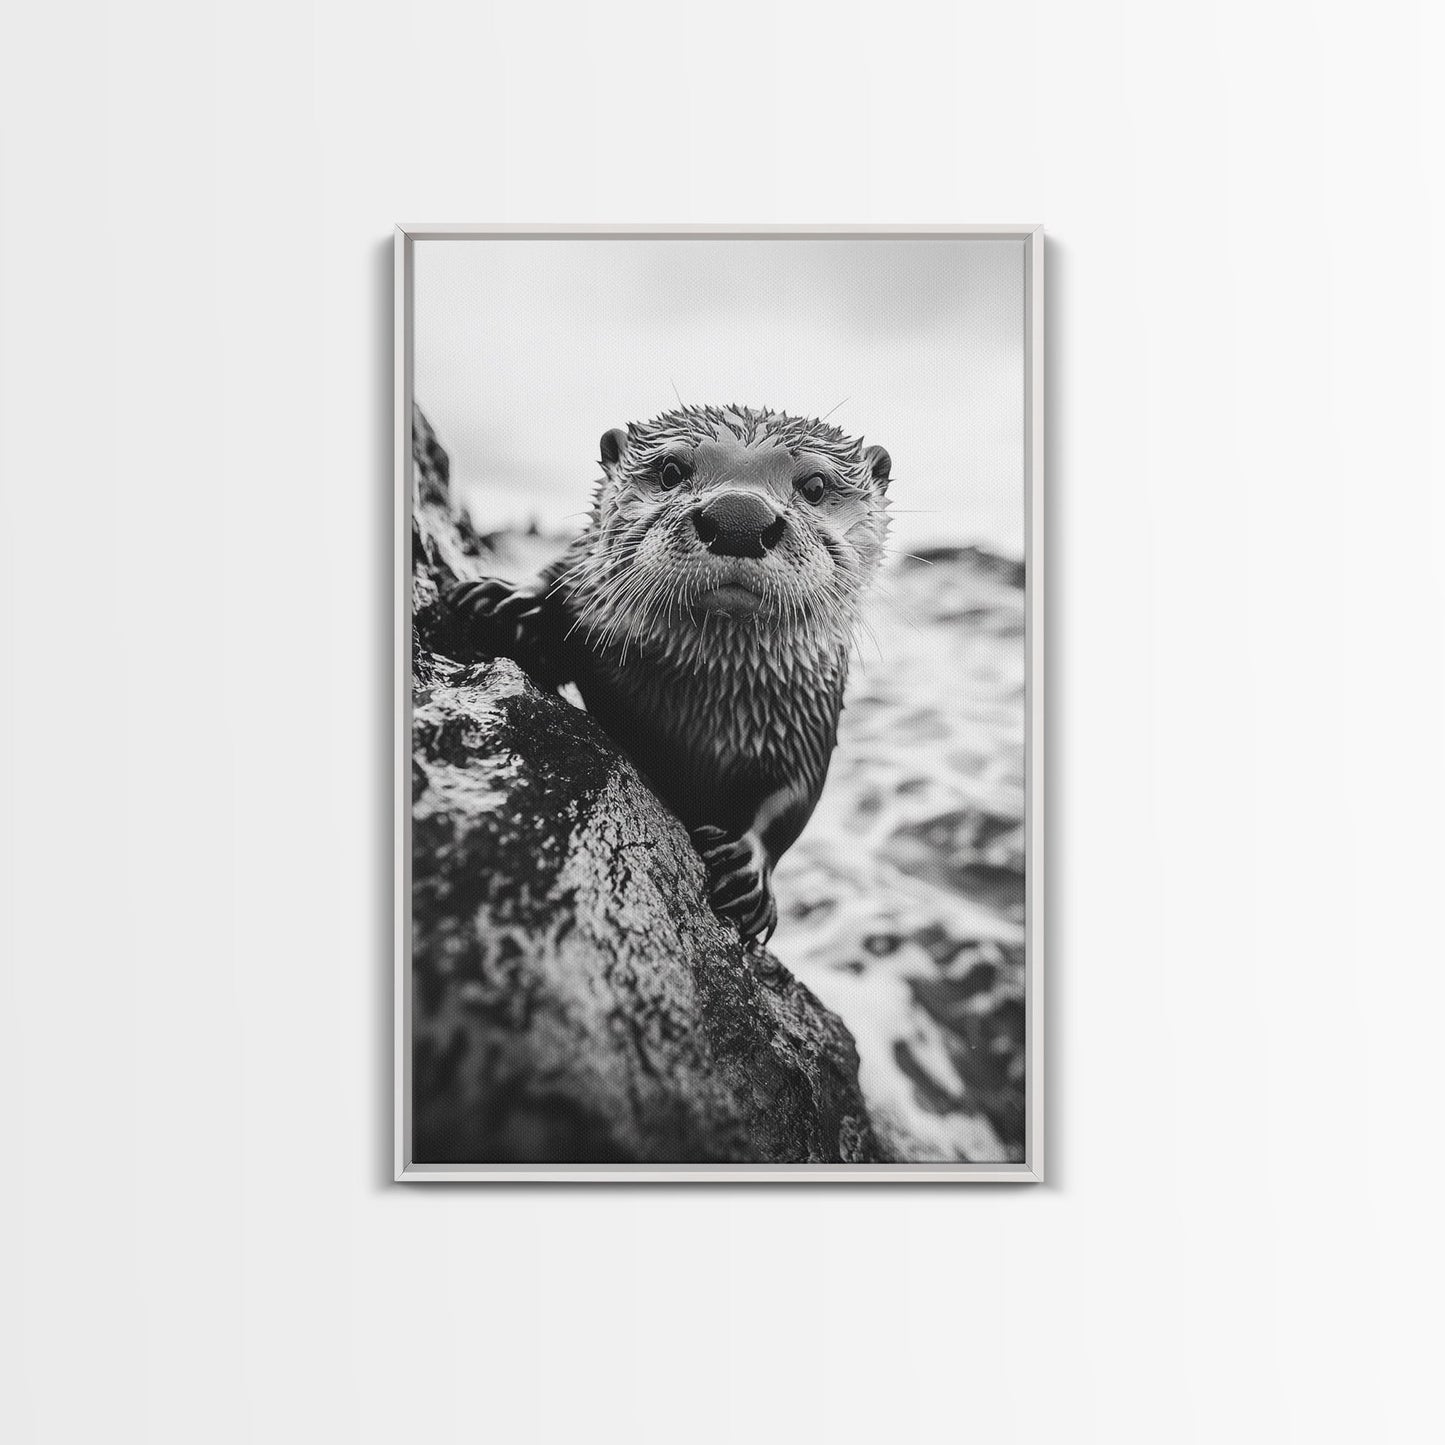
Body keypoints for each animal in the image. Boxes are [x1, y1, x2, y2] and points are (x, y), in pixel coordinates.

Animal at [446, 404, 892, 943]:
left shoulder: (809, 715)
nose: (739, 517)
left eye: (815, 485)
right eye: (672, 470)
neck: (697, 705)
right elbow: (559, 578)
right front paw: (508, 602)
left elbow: (793, 798)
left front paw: (747, 870)